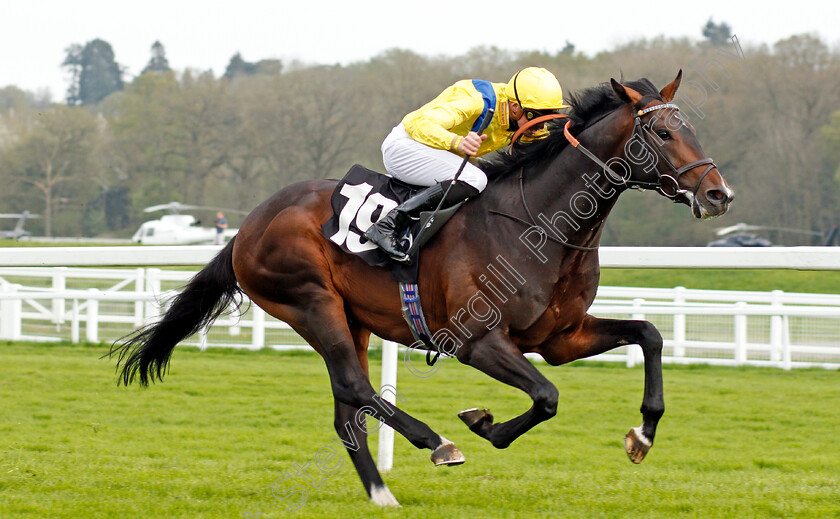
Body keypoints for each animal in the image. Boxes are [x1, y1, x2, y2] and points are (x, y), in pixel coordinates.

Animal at [110, 73, 728, 508]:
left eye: (692, 129)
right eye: (663, 133)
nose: (719, 194)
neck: (540, 224)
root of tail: (249, 225)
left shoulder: (562, 337)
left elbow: (648, 335)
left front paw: (642, 434)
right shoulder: (477, 341)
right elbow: (547, 397)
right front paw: (481, 424)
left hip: (350, 319)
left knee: (347, 409)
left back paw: (382, 494)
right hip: (311, 303)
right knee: (357, 388)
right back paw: (436, 444)